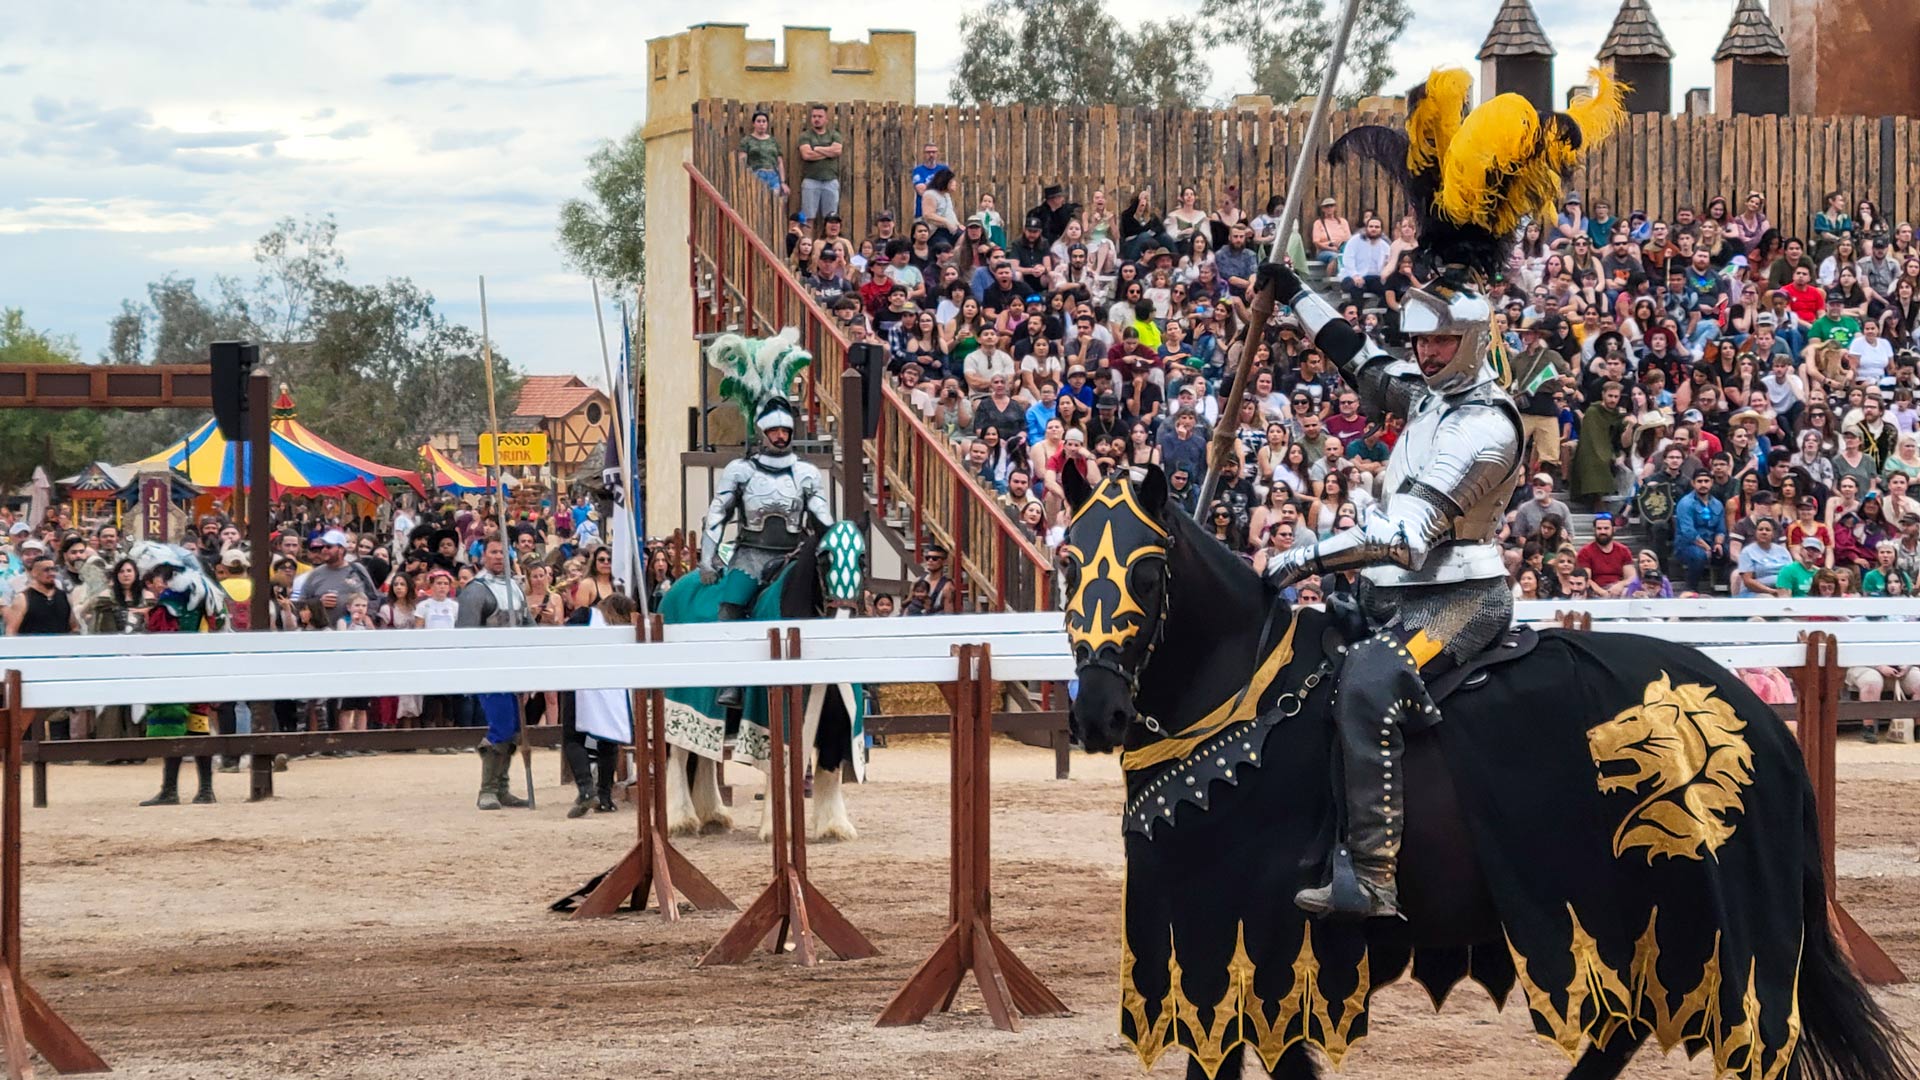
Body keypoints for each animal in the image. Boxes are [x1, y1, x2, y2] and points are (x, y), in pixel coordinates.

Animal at [1059, 466, 1912, 1076]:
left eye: (1146, 574)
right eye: (1067, 563)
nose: (1098, 712)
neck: (1244, 696)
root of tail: (1763, 722)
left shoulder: (1239, 935)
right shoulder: (1214, 947)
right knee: (1623, 1030)